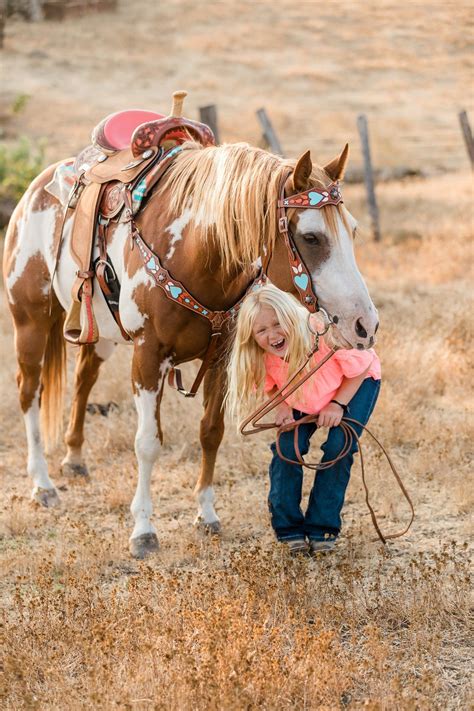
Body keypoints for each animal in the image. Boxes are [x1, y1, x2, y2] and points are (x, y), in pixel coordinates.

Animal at [1, 118, 378, 556]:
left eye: (353, 230)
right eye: (312, 237)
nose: (365, 324)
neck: (195, 252)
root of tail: (35, 189)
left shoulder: (220, 358)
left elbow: (211, 433)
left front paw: (206, 515)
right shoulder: (148, 357)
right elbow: (148, 442)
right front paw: (143, 531)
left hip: (100, 334)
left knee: (83, 379)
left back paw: (74, 459)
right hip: (30, 322)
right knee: (30, 391)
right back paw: (42, 484)